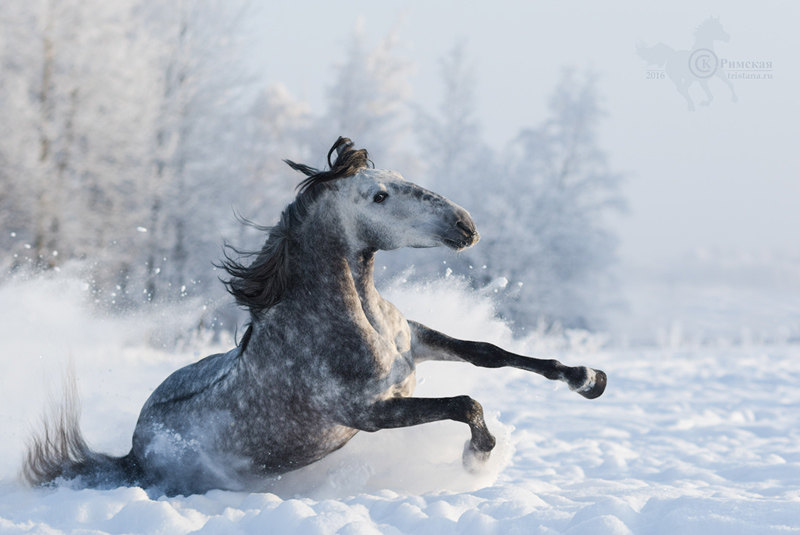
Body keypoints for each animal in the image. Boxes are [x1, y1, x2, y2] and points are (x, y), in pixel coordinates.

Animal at [25, 138, 608, 498]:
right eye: (379, 195)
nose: (465, 225)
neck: (356, 320)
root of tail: (133, 452)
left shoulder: (416, 343)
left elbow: (491, 355)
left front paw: (588, 379)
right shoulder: (367, 412)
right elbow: (465, 401)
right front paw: (478, 458)